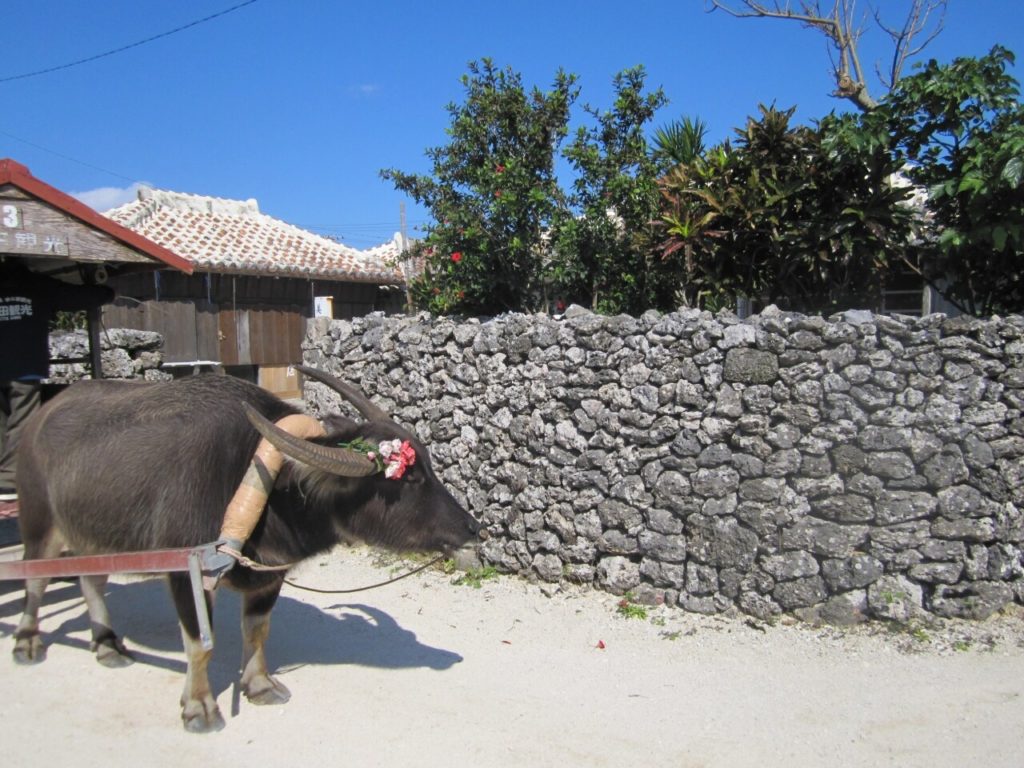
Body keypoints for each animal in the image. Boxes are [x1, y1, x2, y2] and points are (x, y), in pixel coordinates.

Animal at [12, 366, 477, 733]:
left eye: (429, 466)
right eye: (409, 478)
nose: (472, 527)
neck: (267, 486)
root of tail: (38, 419)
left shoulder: (269, 575)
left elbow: (257, 631)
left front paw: (260, 685)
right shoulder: (187, 573)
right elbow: (200, 644)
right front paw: (198, 707)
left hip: (92, 535)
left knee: (91, 579)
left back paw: (107, 644)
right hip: (39, 524)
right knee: (35, 580)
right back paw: (27, 642)